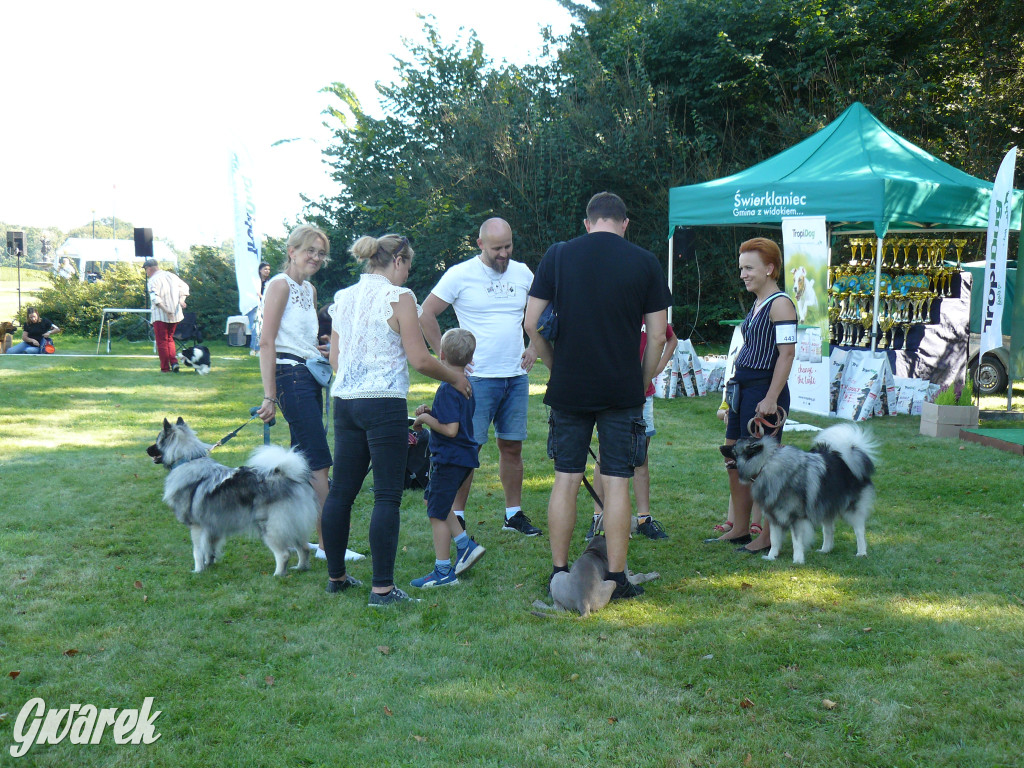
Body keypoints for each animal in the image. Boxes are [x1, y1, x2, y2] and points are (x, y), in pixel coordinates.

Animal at [147, 417, 315, 573]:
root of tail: (289, 476)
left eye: (157, 441)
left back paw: (278, 575)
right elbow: (210, 549)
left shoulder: (197, 527)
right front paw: (209, 564)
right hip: (293, 525)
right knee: (304, 548)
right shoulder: (212, 526)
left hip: (270, 527)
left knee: (284, 554)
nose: (147, 450)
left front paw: (198, 570)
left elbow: (197, 552)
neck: (187, 460)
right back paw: (301, 568)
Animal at [720, 423, 880, 561]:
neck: (765, 465)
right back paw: (825, 550)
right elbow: (774, 539)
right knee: (828, 530)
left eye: (734, 447)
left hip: (851, 509)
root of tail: (853, 455)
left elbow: (797, 541)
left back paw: (861, 552)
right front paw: (771, 557)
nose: (721, 446)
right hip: (824, 505)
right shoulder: (774, 516)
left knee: (859, 531)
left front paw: (797, 560)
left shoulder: (796, 517)